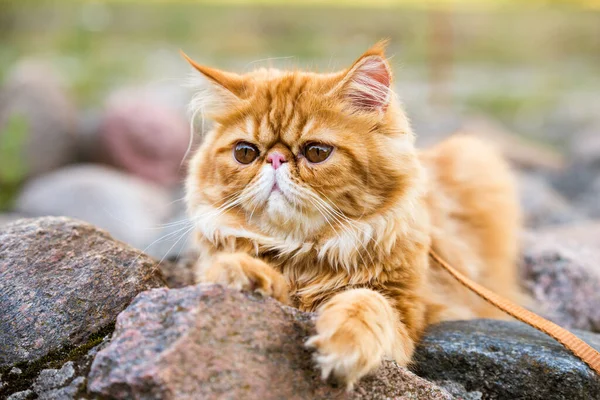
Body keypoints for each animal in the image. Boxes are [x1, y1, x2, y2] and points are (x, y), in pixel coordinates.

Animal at [182, 40, 520, 388]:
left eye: (317, 152)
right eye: (245, 153)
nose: (275, 159)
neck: (302, 252)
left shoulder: (405, 314)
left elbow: (365, 302)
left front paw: (345, 343)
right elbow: (232, 267)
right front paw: (245, 275)